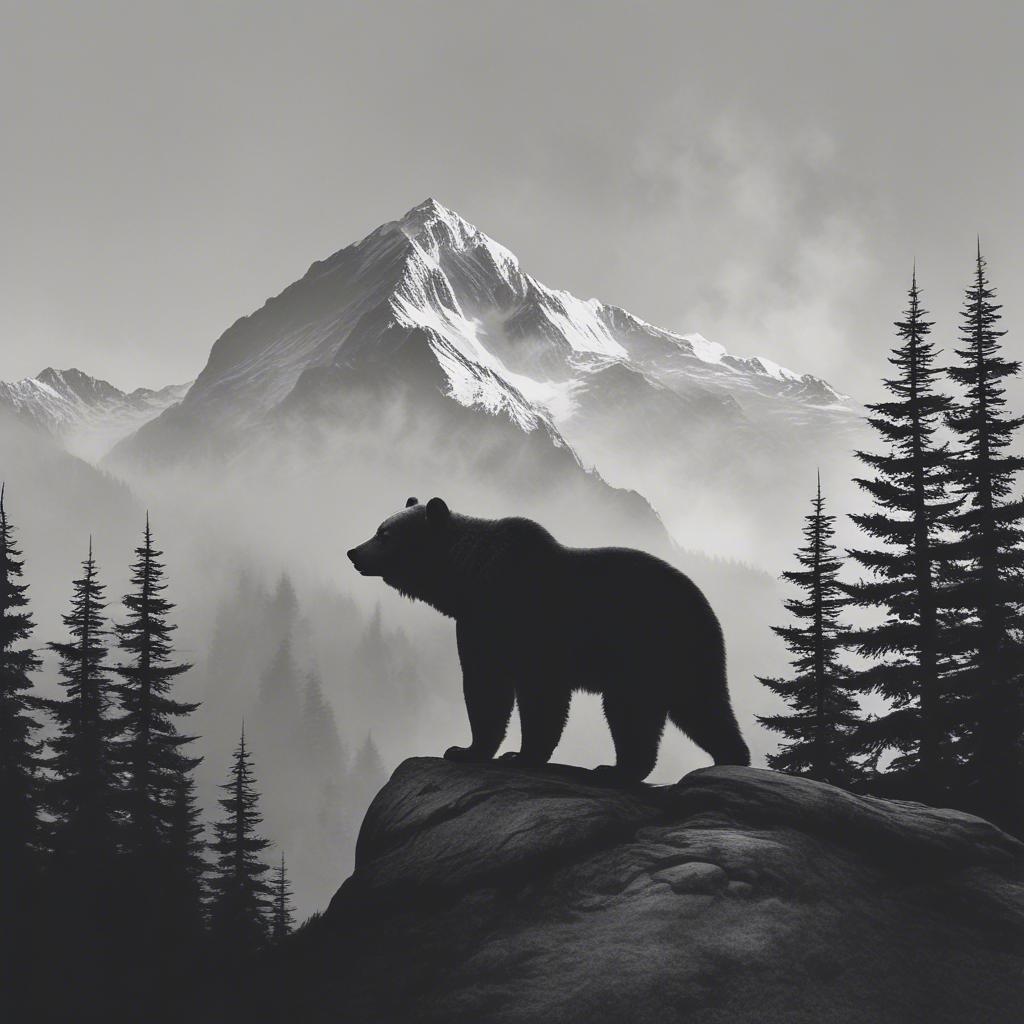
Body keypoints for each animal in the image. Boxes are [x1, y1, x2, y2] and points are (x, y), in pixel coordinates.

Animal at [347, 497, 750, 781]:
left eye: (385, 534)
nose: (353, 552)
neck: (469, 579)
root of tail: (706, 607)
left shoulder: (522, 622)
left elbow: (519, 692)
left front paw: (503, 753)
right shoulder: (479, 624)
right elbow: (492, 685)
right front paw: (475, 749)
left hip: (646, 647)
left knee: (632, 710)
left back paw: (618, 769)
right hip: (685, 657)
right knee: (702, 707)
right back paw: (731, 757)